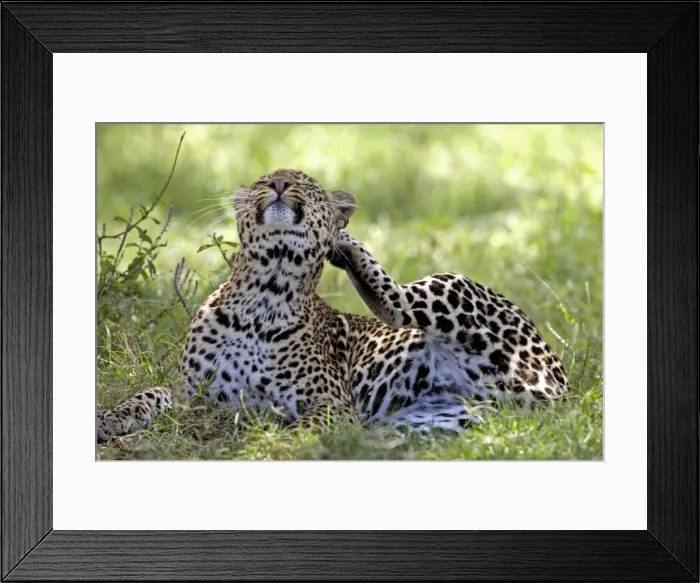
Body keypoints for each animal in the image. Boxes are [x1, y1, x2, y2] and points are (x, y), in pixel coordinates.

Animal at [96, 168, 568, 444]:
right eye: (264, 179)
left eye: (304, 182)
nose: (279, 185)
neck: (263, 298)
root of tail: (563, 393)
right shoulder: (193, 395)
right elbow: (146, 395)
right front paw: (108, 422)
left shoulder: (330, 404)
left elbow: (303, 428)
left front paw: (275, 446)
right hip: (435, 423)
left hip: (455, 286)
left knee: (395, 303)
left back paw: (345, 244)